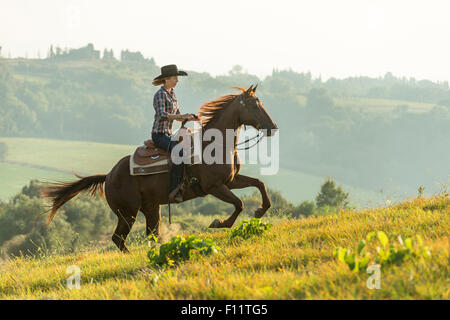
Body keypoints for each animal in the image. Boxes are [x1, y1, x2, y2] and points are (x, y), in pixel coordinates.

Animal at [41, 85, 278, 252]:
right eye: (254, 105)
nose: (273, 127)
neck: (214, 144)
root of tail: (108, 176)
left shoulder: (231, 180)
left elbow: (259, 184)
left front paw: (261, 210)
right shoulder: (214, 187)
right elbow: (239, 204)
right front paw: (218, 223)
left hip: (152, 208)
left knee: (150, 234)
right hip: (127, 212)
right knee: (119, 238)